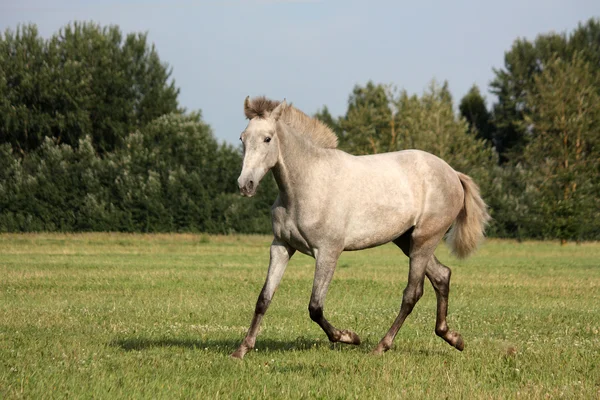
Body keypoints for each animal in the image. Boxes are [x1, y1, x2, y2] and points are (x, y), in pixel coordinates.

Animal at [232, 97, 490, 360]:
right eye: (242, 138)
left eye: (267, 138)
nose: (245, 185)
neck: (306, 184)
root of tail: (453, 173)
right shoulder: (281, 246)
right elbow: (264, 298)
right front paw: (242, 349)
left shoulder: (327, 252)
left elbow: (315, 307)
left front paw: (349, 337)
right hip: (407, 240)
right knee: (441, 276)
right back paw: (452, 337)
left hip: (424, 239)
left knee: (412, 293)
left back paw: (382, 346)